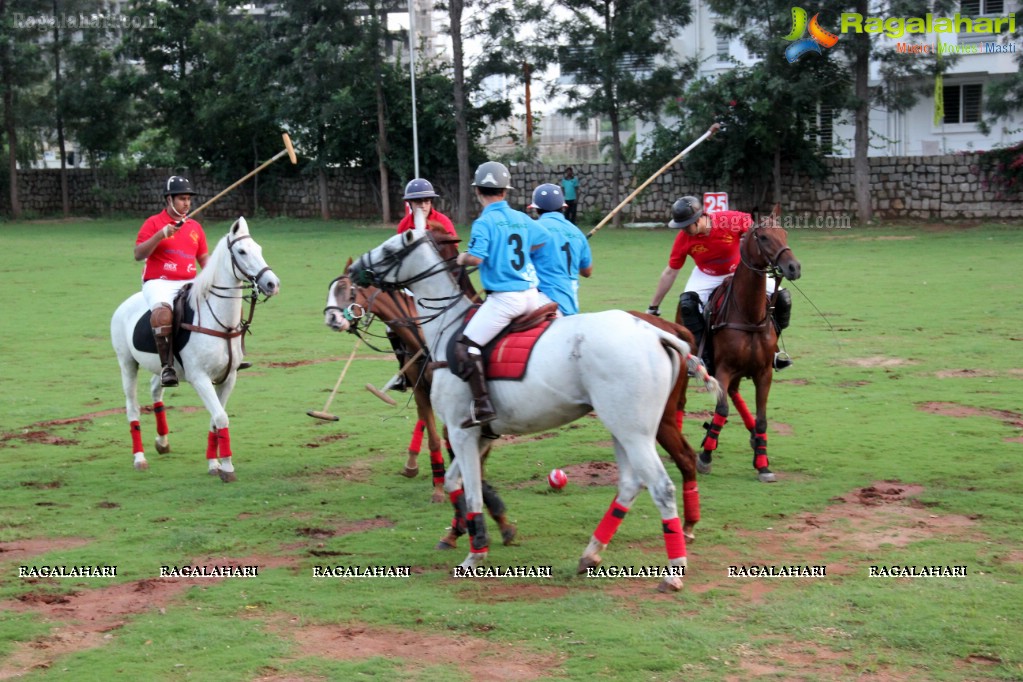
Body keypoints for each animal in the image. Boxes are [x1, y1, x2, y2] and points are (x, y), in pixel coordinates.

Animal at [109, 217, 280, 480]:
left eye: (259, 249)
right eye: (242, 251)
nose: (272, 283)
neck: (220, 322)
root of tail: (124, 304)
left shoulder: (228, 377)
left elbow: (215, 418)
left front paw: (214, 464)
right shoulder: (200, 377)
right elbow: (220, 416)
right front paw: (227, 468)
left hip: (163, 366)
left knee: (156, 389)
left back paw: (162, 442)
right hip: (127, 362)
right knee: (132, 407)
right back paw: (139, 458)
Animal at [347, 229, 724, 593]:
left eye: (389, 250)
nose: (354, 270)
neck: (447, 328)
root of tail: (659, 335)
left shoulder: (461, 430)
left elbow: (472, 491)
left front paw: (476, 551)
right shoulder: (482, 434)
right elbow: (458, 481)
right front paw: (472, 533)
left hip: (636, 430)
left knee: (661, 486)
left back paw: (674, 571)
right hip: (621, 426)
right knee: (631, 484)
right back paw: (591, 554)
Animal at [675, 215, 802, 482]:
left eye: (784, 233)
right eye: (763, 237)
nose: (793, 267)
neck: (749, 315)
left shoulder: (764, 372)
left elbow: (762, 418)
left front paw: (763, 464)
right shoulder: (724, 368)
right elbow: (721, 409)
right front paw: (705, 456)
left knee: (733, 392)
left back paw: (753, 438)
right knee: (683, 401)